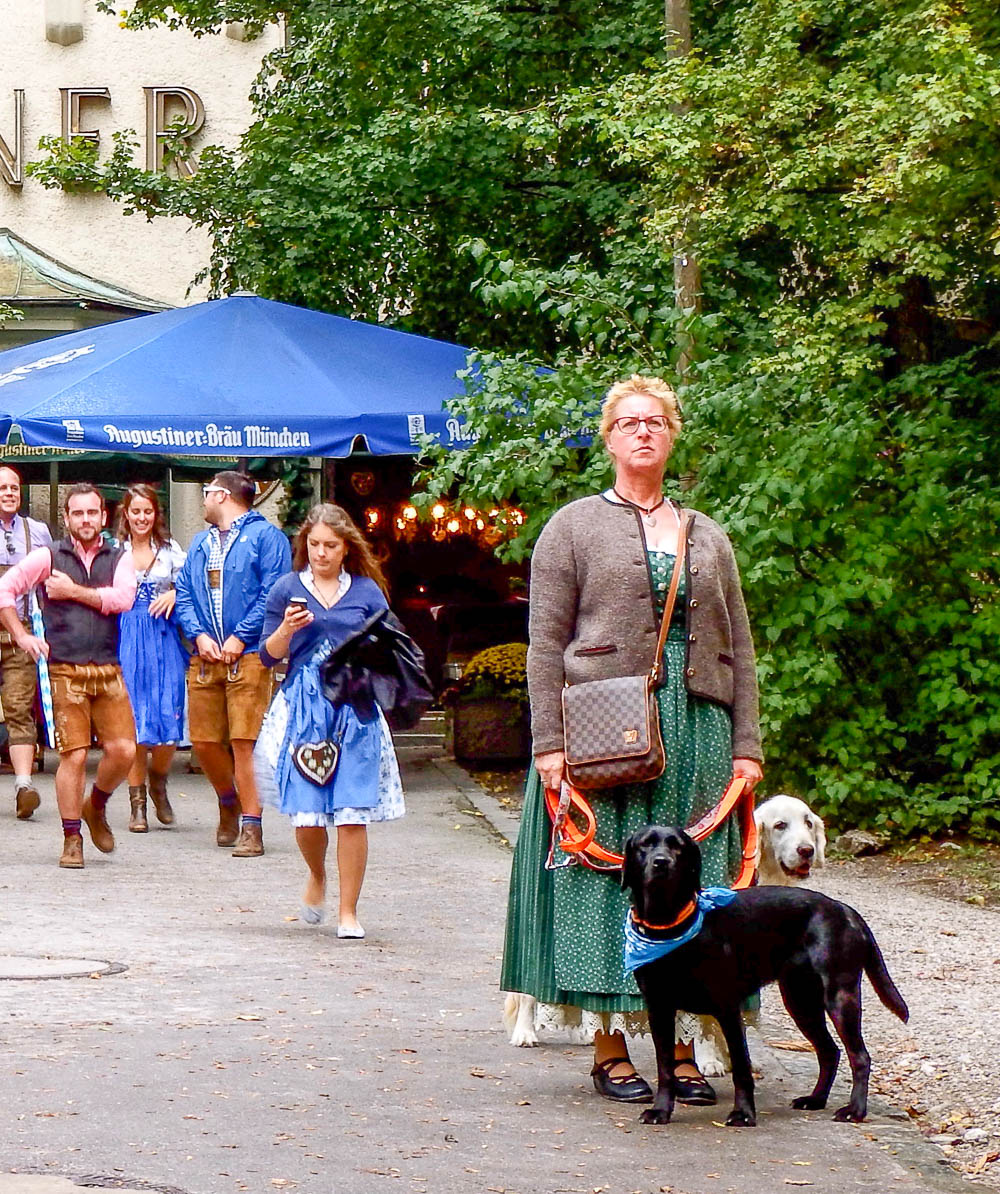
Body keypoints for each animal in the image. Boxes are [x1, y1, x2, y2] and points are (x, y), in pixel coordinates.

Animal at [620, 826, 911, 1122]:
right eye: (645, 845)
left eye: (677, 846)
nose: (661, 862)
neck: (668, 924)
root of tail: (844, 910)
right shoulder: (659, 1009)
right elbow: (665, 1068)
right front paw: (660, 1110)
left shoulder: (727, 1009)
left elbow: (741, 1068)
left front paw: (743, 1113)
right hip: (801, 1002)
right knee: (830, 1052)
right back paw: (815, 1099)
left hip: (840, 998)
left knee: (859, 1056)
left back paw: (855, 1110)